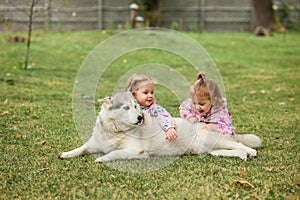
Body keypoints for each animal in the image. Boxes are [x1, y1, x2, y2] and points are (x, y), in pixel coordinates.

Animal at [58, 91, 260, 162]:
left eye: (137, 107)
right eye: (126, 107)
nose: (140, 117)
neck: (115, 131)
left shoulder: (134, 151)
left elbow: (114, 153)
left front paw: (102, 158)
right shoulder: (93, 144)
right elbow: (80, 148)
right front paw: (66, 154)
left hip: (214, 140)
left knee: (241, 145)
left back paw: (251, 152)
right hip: (209, 149)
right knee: (233, 151)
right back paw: (244, 155)